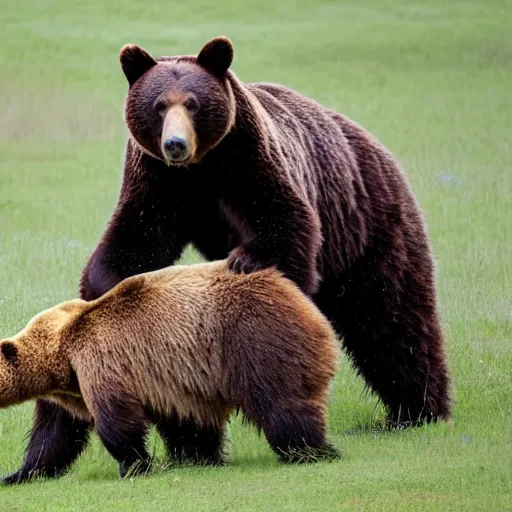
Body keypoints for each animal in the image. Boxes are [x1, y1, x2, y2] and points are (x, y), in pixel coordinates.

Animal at [0, 262, 340, 482]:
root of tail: (294, 293)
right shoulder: (69, 388)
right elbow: (54, 434)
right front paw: (19, 474)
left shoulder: (98, 360)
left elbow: (117, 420)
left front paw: (135, 465)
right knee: (196, 421)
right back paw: (200, 458)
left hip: (254, 337)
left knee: (282, 403)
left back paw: (314, 450)